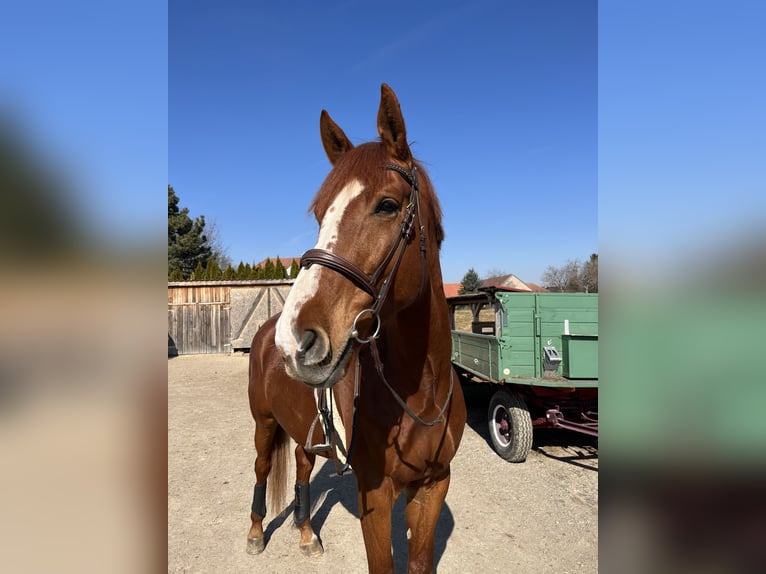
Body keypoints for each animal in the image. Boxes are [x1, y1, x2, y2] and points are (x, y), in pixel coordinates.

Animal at [246, 84, 466, 574]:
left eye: (387, 205)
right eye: (320, 215)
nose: (295, 340)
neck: (421, 393)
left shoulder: (433, 486)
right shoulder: (376, 497)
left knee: (302, 464)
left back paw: (306, 533)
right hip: (264, 422)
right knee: (262, 468)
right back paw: (254, 532)